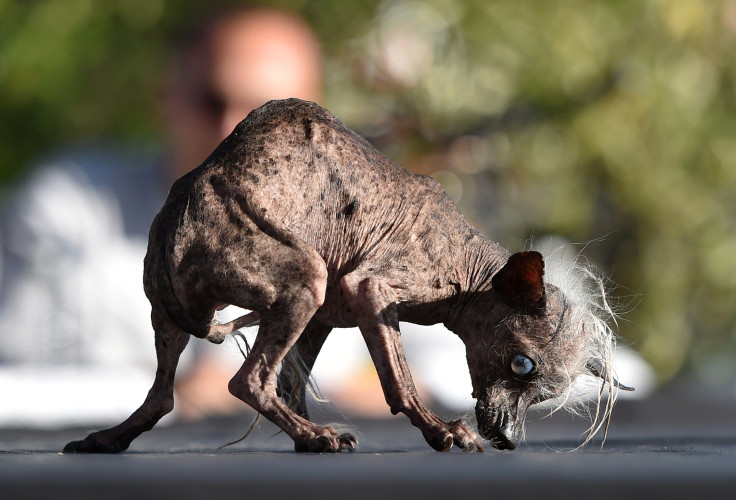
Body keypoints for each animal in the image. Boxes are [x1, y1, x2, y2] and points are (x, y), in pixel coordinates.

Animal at [63, 97, 628, 454]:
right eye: (521, 365)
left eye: (547, 393)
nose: (509, 439)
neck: (466, 265)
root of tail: (182, 205)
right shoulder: (371, 289)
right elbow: (399, 382)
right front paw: (439, 431)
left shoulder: (326, 315)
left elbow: (292, 383)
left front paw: (305, 433)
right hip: (304, 277)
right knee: (246, 381)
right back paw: (316, 436)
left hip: (184, 308)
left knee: (165, 394)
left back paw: (108, 438)